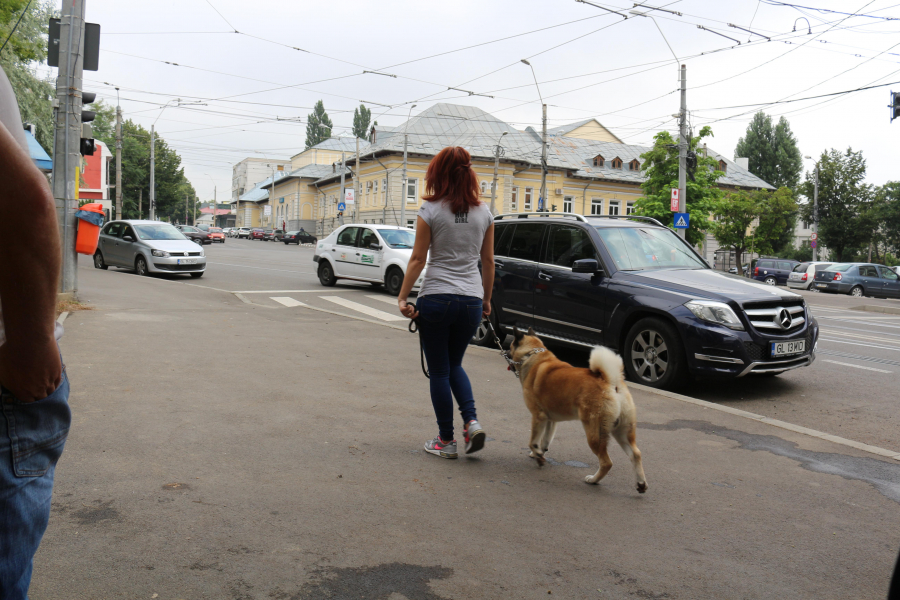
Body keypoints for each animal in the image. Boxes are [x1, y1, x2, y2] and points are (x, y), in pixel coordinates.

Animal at [512, 328, 648, 492]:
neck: (534, 356)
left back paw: (593, 480)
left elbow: (533, 441)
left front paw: (537, 455)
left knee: (606, 462)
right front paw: (538, 453)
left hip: (594, 433)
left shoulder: (538, 416)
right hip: (621, 431)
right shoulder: (550, 420)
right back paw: (641, 483)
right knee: (636, 454)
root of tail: (611, 382)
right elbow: (544, 441)